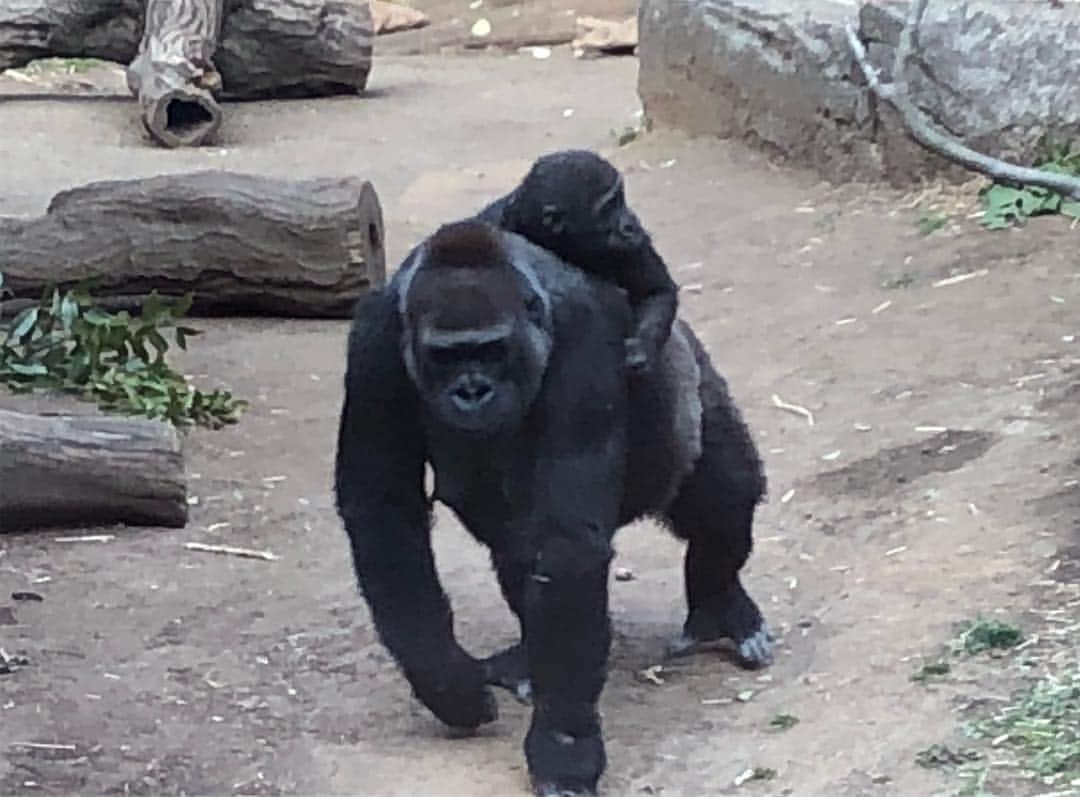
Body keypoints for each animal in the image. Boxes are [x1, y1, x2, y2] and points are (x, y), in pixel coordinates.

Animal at [332, 219, 773, 794]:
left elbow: (568, 543)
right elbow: (382, 507)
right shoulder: (374, 345)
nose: (472, 391)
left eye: (493, 349)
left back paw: (720, 607)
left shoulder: (584, 342)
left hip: (687, 371)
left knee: (724, 501)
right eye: (445, 355)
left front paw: (564, 745)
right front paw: (444, 680)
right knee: (518, 550)